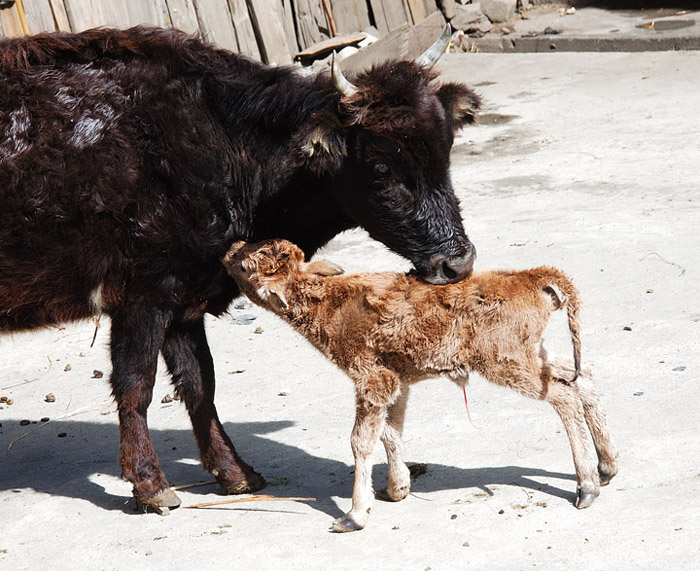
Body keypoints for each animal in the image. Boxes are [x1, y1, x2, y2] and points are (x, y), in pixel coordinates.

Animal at [0, 24, 482, 512]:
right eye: (381, 164)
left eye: (445, 149)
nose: (457, 261)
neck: (214, 138)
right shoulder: (142, 298)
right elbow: (136, 386)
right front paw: (150, 485)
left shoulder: (184, 300)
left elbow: (200, 385)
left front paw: (236, 474)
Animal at [223, 240, 616, 532]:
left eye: (243, 266)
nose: (231, 247)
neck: (329, 303)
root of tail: (530, 277)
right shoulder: (397, 379)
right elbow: (390, 430)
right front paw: (397, 488)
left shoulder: (371, 377)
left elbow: (361, 440)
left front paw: (354, 515)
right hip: (530, 352)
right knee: (580, 375)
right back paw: (607, 466)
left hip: (506, 361)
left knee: (563, 396)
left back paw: (587, 486)